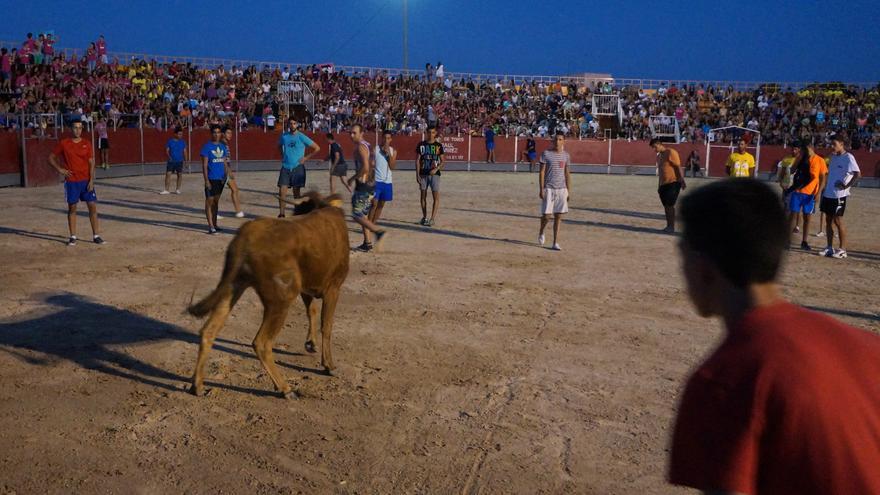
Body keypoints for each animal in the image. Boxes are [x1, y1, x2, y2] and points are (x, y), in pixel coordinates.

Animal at [189, 192, 350, 398]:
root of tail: (246, 235)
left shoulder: (306, 288)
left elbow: (312, 311)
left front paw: (311, 343)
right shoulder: (333, 288)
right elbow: (327, 326)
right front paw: (329, 365)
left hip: (233, 286)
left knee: (208, 332)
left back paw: (197, 385)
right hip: (281, 299)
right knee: (262, 343)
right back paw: (285, 388)